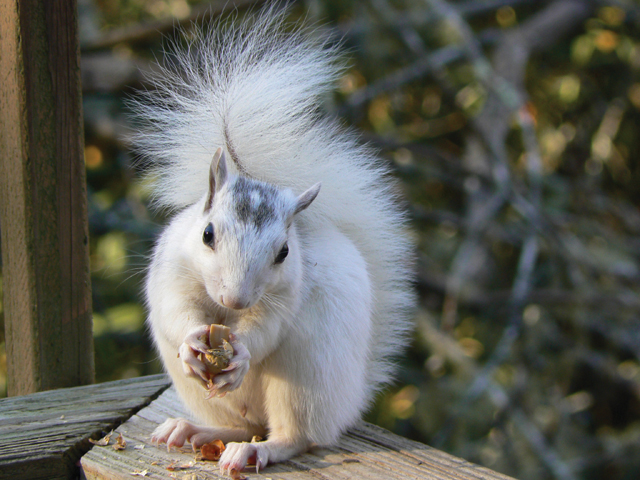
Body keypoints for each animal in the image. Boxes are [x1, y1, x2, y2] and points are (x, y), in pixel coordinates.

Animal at [133, 4, 418, 476]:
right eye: (207, 234)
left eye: (283, 252)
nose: (236, 299)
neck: (224, 312)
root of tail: (351, 401)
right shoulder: (171, 271)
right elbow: (176, 311)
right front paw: (192, 341)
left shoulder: (285, 296)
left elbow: (266, 329)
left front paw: (244, 351)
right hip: (208, 395)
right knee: (241, 423)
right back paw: (193, 430)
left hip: (305, 379)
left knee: (295, 436)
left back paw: (256, 450)